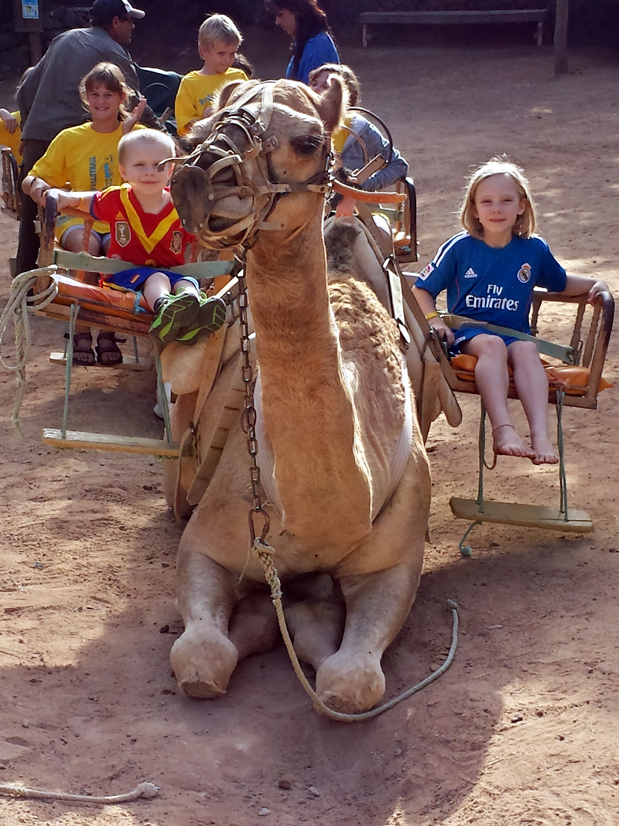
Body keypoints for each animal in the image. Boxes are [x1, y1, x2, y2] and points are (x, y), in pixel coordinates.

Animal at [166, 77, 432, 715]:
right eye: (194, 132)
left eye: (309, 140)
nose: (200, 175)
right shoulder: (205, 543)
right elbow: (201, 658)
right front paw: (264, 619)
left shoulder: (398, 561)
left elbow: (352, 683)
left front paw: (303, 619)